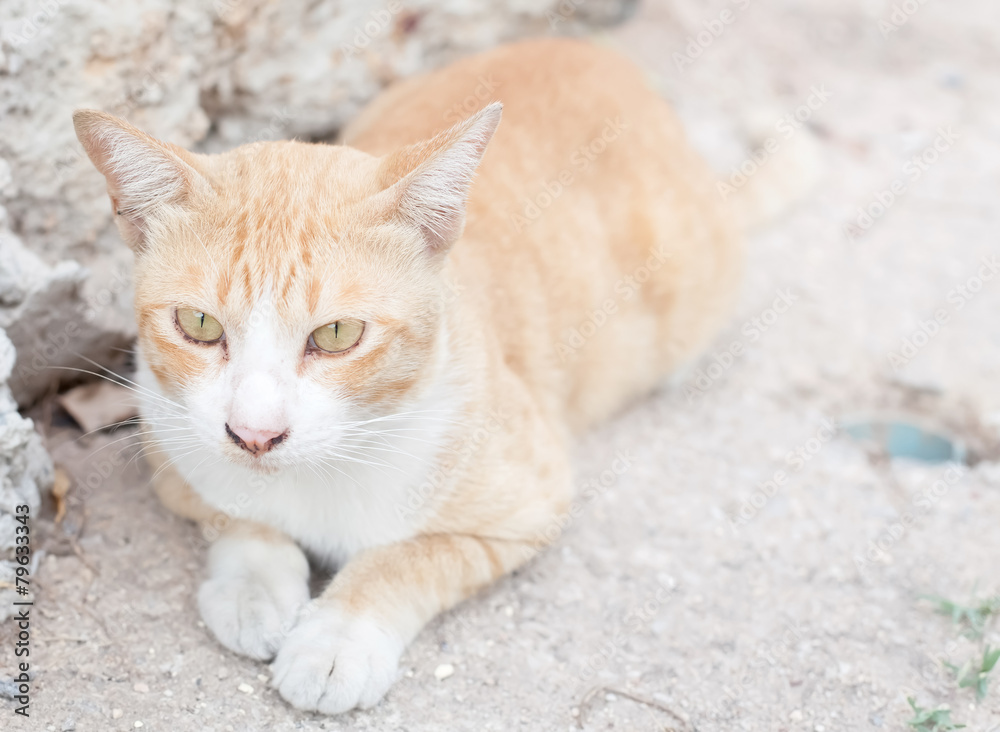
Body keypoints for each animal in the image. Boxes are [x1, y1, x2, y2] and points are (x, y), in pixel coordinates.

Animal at [72, 37, 744, 712]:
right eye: (199, 324)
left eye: (337, 335)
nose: (255, 434)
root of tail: (595, 52)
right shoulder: (170, 449)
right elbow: (236, 516)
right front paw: (253, 588)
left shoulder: (532, 504)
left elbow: (407, 556)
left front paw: (338, 637)